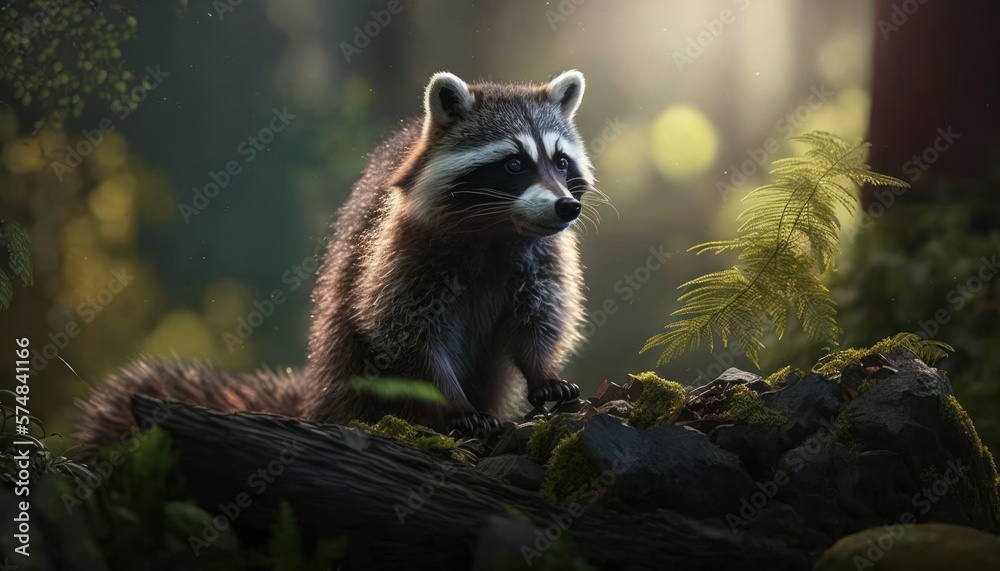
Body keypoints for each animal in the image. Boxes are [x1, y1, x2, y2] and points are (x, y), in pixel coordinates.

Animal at [75, 70, 595, 453]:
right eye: (514, 164)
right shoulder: (405, 251)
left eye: (561, 162)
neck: (499, 234)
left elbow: (539, 318)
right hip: (344, 351)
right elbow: (405, 332)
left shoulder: (541, 258)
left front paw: (544, 373)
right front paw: (451, 397)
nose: (567, 207)